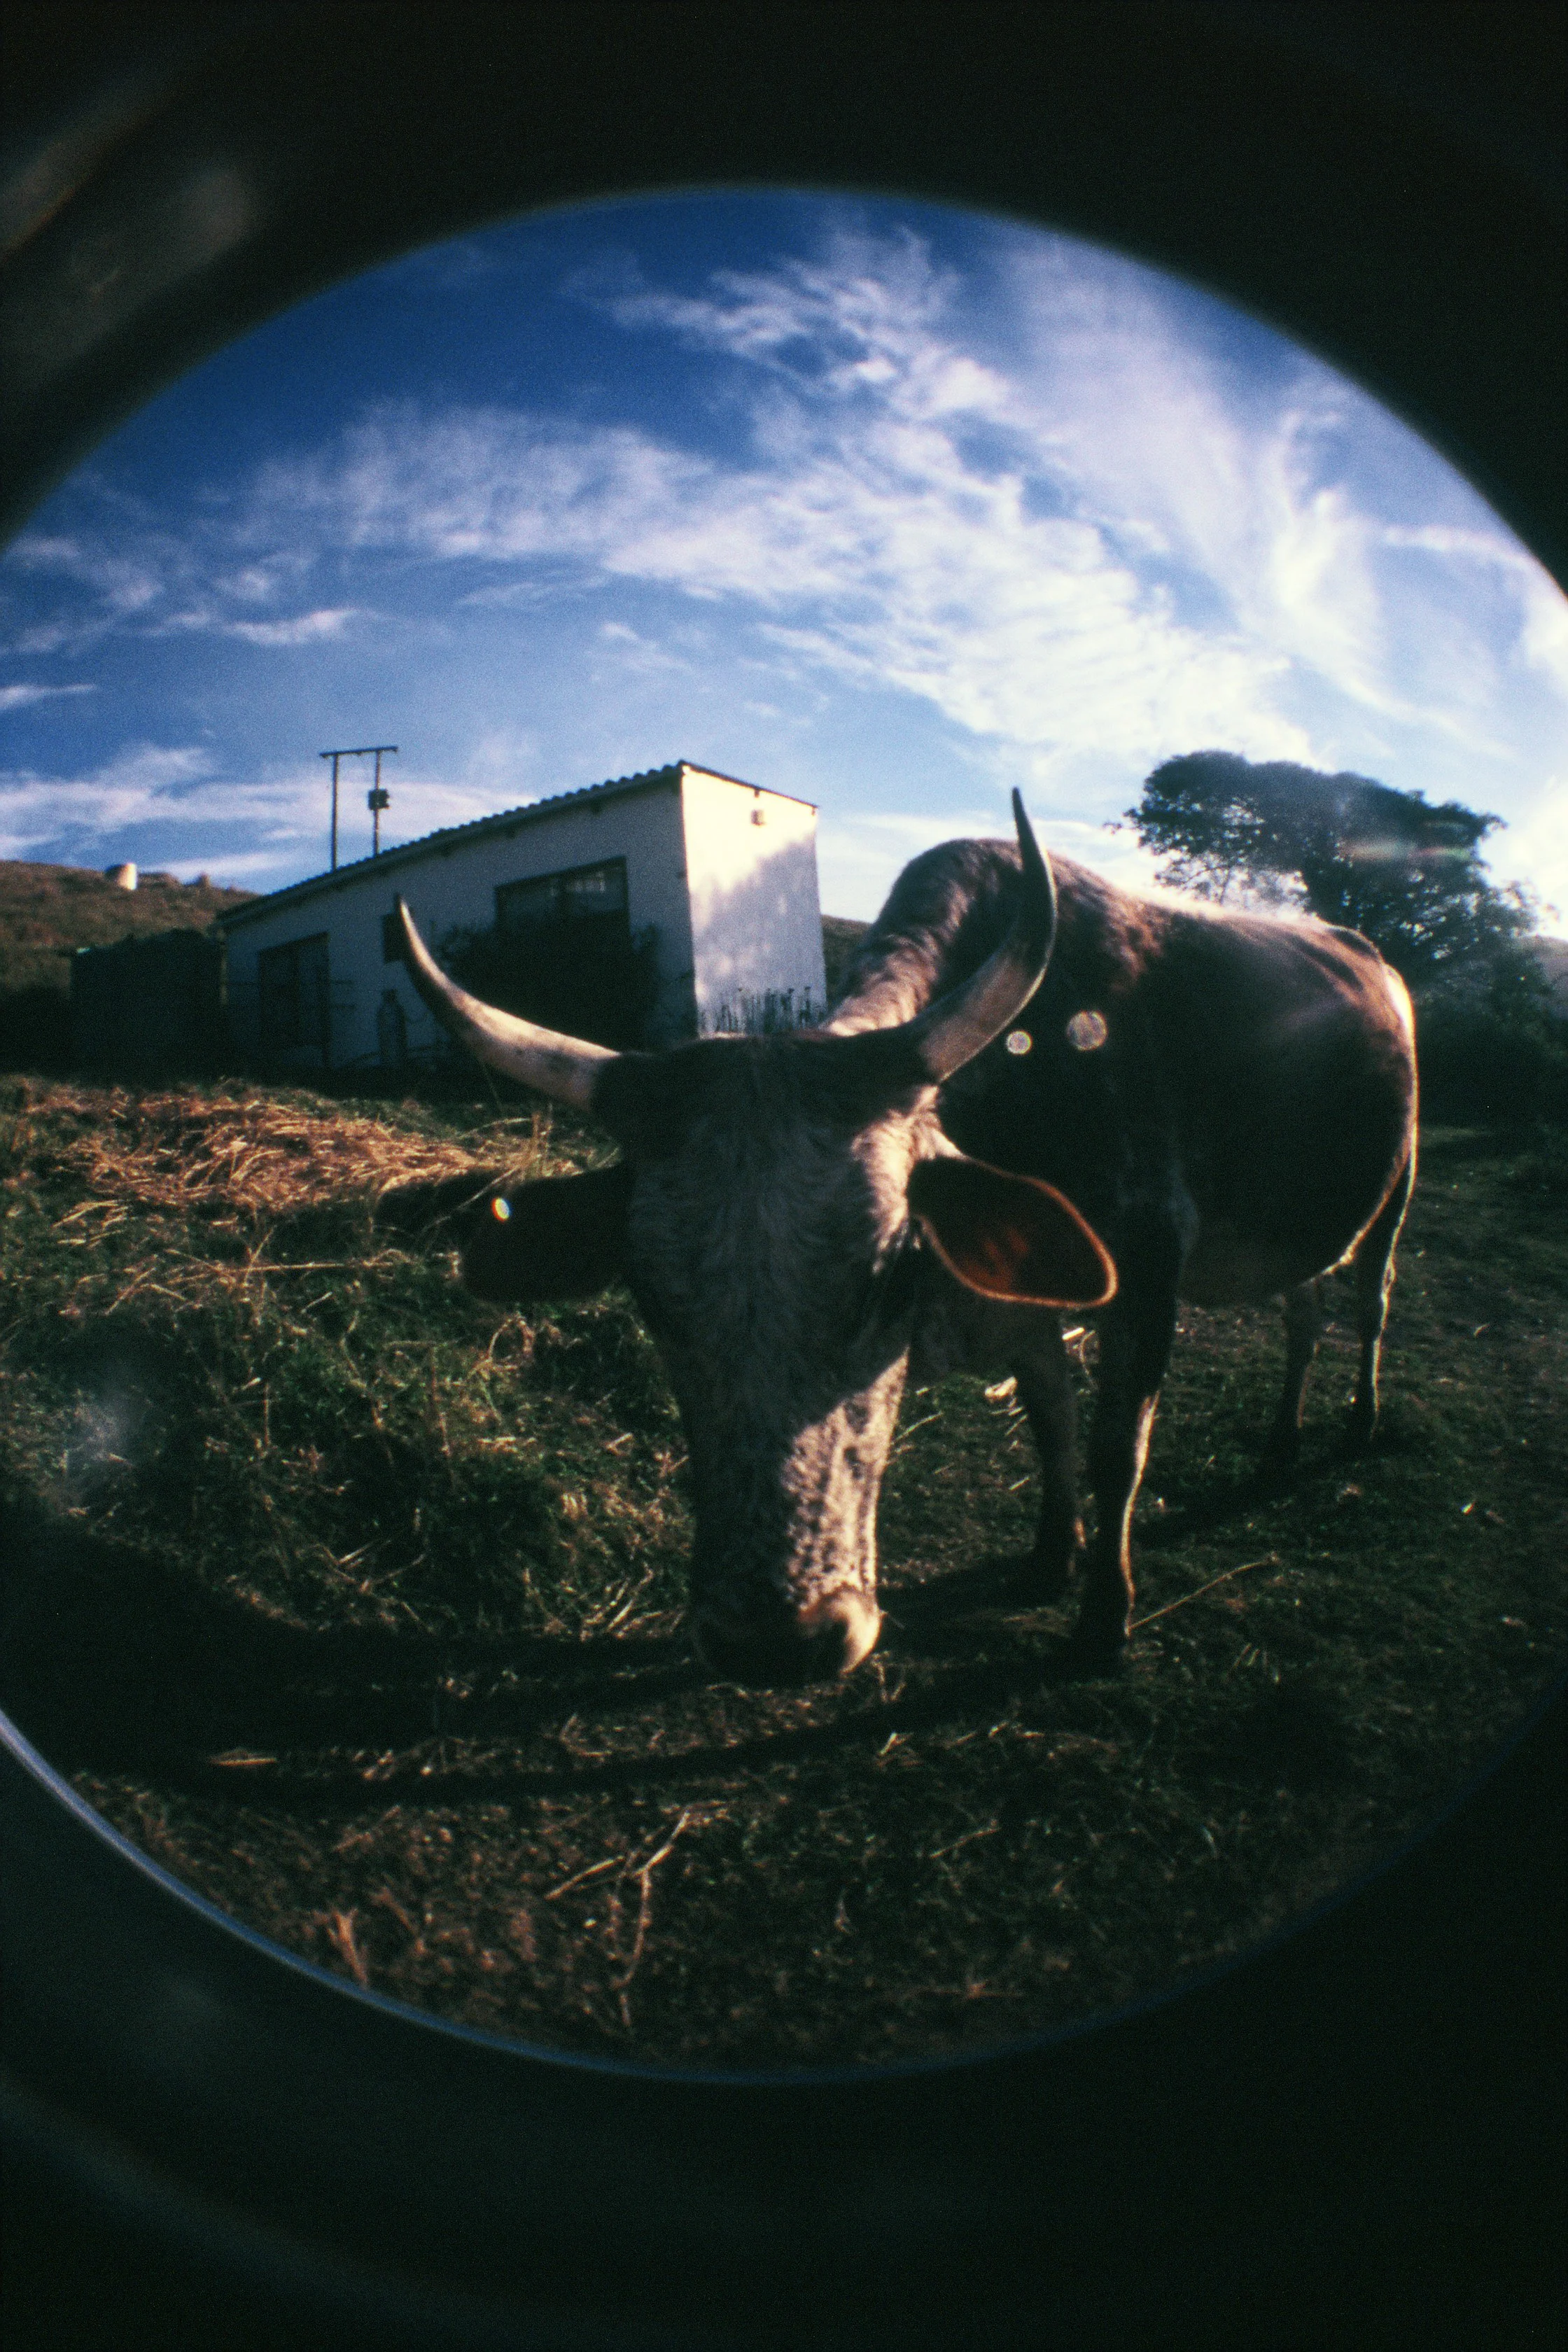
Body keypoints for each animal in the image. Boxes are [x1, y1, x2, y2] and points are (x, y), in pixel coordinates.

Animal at [392, 791, 1417, 1682]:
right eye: (648, 1296)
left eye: (890, 1277)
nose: (777, 1645)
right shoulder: (1032, 1306)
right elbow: (1050, 1421)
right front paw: (1050, 1558)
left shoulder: (1145, 1278)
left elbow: (1114, 1451)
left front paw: (1102, 1618)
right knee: (1302, 1314)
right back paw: (1280, 1440)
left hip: (1394, 1194)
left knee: (1369, 1304)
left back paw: (1359, 1422)